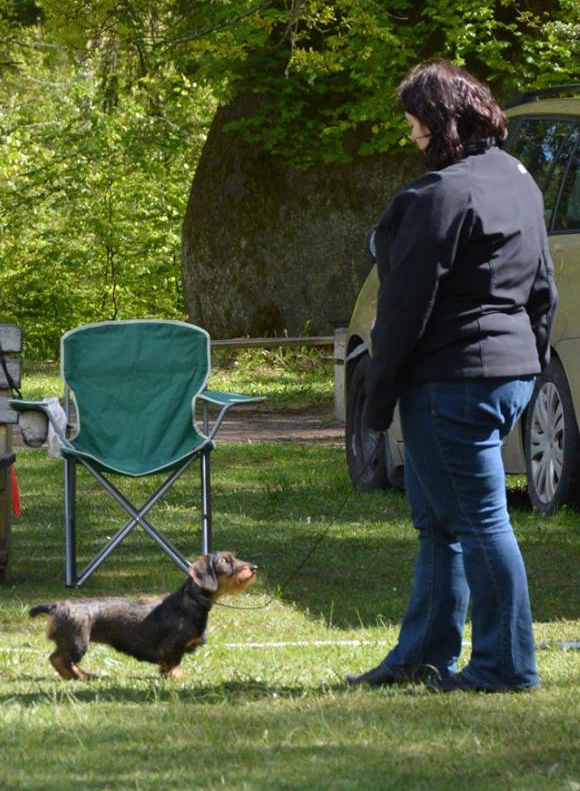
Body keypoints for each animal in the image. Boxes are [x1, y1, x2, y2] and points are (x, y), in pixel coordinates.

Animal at [29, 552, 257, 680]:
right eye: (225, 561)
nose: (254, 567)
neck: (190, 601)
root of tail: (57, 606)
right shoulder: (172, 647)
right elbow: (174, 663)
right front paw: (180, 677)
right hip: (78, 642)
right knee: (59, 659)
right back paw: (76, 676)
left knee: (63, 660)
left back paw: (83, 676)